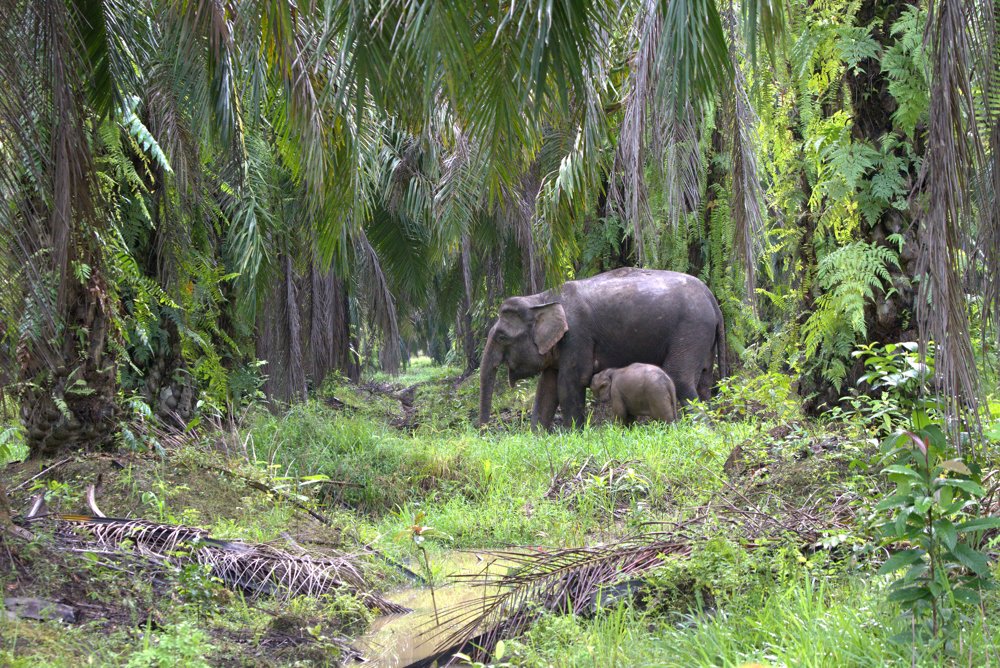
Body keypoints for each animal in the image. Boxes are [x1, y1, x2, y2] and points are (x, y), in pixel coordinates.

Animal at [478, 267, 726, 430]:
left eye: (502, 337)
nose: (483, 432)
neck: (541, 298)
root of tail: (713, 299)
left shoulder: (577, 336)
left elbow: (569, 383)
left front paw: (572, 435)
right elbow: (546, 388)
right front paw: (538, 437)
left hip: (691, 330)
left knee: (680, 379)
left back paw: (702, 431)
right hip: (704, 339)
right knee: (704, 383)